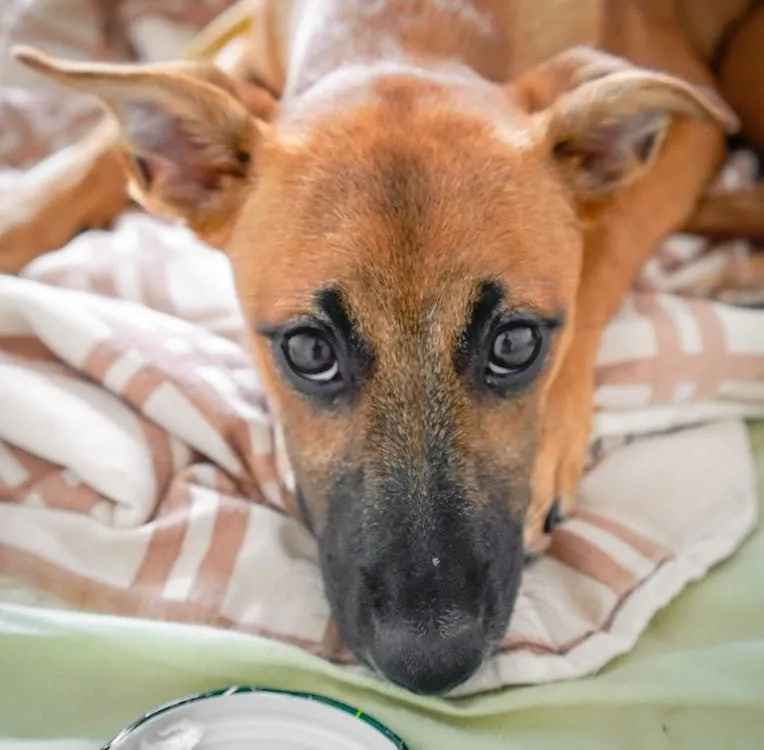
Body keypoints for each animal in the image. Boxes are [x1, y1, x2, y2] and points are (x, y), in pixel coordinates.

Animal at [2, 0, 760, 700]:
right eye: (309, 351)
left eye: (517, 343)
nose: (431, 662)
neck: (402, 27)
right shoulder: (240, 42)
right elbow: (93, 150)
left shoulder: (693, 123)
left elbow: (609, 242)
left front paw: (553, 448)